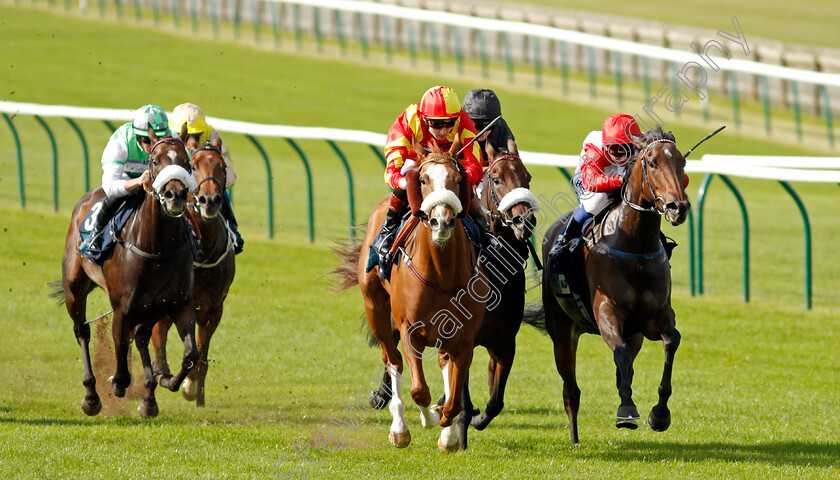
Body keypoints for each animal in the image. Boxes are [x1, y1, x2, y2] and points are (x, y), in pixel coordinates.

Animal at [57, 129, 199, 418]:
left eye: (186, 161)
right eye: (155, 161)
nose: (175, 194)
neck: (156, 247)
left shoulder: (179, 303)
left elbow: (190, 354)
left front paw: (167, 382)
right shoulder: (122, 308)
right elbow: (122, 359)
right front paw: (117, 382)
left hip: (151, 306)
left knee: (142, 337)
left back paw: (149, 399)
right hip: (74, 288)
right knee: (82, 330)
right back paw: (91, 395)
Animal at [151, 135, 235, 404]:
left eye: (222, 166)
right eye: (194, 165)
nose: (210, 200)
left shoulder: (213, 308)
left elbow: (201, 356)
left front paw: (195, 393)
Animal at [332, 141, 486, 452]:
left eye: (458, 179)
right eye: (423, 180)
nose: (442, 222)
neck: (441, 272)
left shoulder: (464, 338)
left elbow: (453, 400)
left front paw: (448, 431)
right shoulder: (409, 330)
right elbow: (419, 390)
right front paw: (428, 418)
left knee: (441, 363)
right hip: (375, 307)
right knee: (393, 360)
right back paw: (399, 427)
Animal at [540, 125, 688, 444]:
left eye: (682, 162)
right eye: (652, 162)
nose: (678, 207)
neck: (635, 245)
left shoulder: (654, 317)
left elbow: (671, 340)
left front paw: (659, 414)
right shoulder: (606, 310)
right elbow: (618, 352)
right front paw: (627, 410)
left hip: (635, 335)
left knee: (626, 366)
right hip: (562, 331)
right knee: (571, 390)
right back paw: (574, 439)